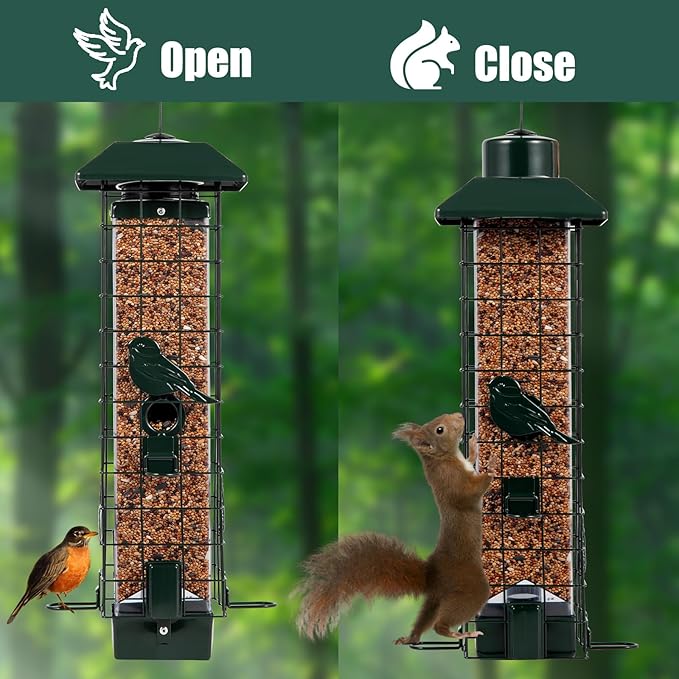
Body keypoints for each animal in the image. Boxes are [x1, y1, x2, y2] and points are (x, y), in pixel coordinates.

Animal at [295, 412, 498, 644]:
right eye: (440, 429)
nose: (459, 415)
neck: (445, 458)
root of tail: (432, 575)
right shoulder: (452, 483)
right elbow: (469, 494)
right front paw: (492, 466)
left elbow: (470, 462)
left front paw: (473, 446)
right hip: (470, 588)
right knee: (440, 624)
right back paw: (460, 632)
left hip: (435, 599)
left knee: (424, 620)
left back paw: (411, 638)